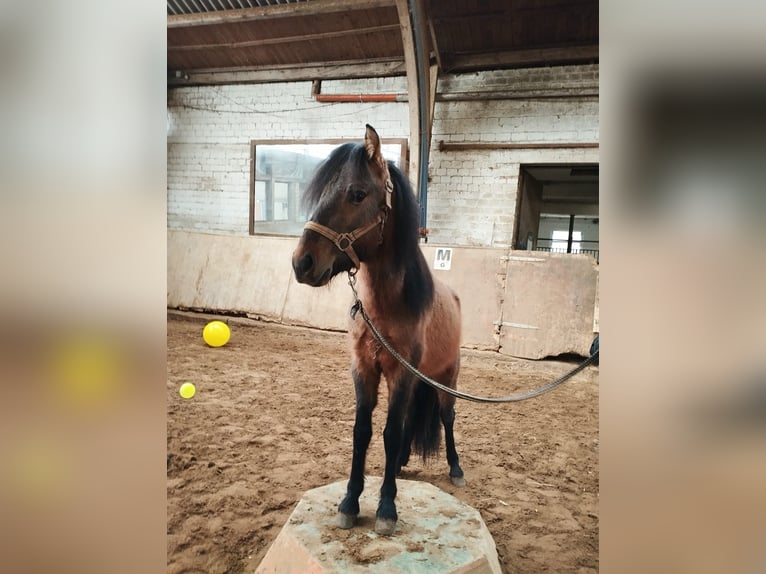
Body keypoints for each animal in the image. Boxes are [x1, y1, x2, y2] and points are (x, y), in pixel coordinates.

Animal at [291, 124, 464, 536]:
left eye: (357, 194)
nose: (301, 263)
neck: (385, 306)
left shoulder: (400, 373)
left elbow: (389, 432)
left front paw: (387, 507)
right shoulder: (364, 369)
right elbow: (363, 432)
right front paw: (350, 502)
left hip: (445, 378)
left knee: (446, 418)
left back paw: (455, 467)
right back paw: (400, 463)